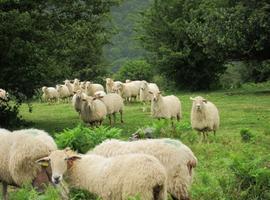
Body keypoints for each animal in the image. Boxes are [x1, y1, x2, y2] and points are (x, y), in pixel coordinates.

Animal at [35, 149, 167, 200]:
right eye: (50, 160)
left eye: (65, 159)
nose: (56, 178)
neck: (76, 168)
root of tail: (157, 174)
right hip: (161, 194)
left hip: (137, 194)